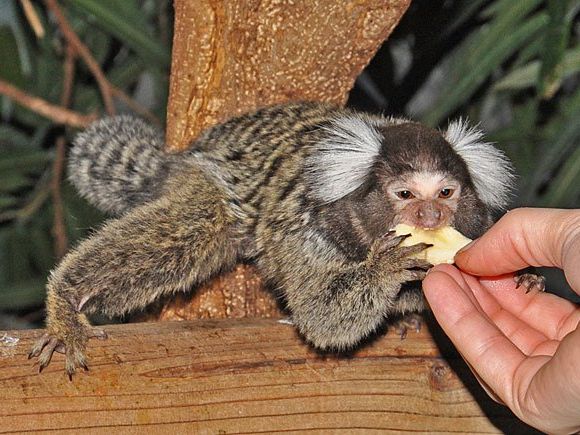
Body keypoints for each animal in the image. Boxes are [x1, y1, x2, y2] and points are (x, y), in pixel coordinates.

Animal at [30, 102, 516, 378]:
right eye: (406, 195)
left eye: (446, 193)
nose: (431, 215)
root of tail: (189, 152)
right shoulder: (309, 233)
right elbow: (322, 318)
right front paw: (386, 269)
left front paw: (524, 278)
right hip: (213, 185)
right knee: (190, 229)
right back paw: (67, 302)